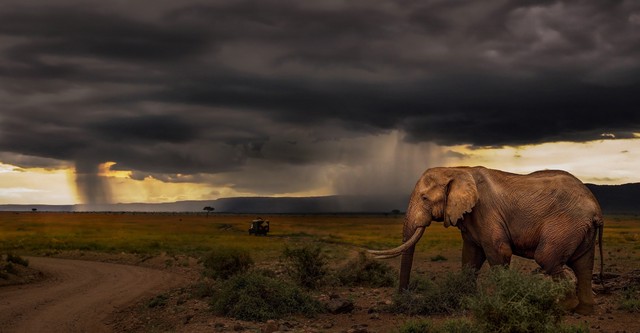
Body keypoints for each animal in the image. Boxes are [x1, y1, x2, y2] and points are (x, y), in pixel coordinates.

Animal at [370, 166, 604, 314]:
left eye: (425, 198)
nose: (402, 301)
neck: (456, 170)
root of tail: (596, 208)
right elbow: (471, 257)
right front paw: (464, 301)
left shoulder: (485, 211)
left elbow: (498, 251)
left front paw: (504, 304)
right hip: (580, 230)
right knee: (584, 266)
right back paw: (584, 311)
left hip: (566, 224)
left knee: (548, 258)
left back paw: (564, 307)